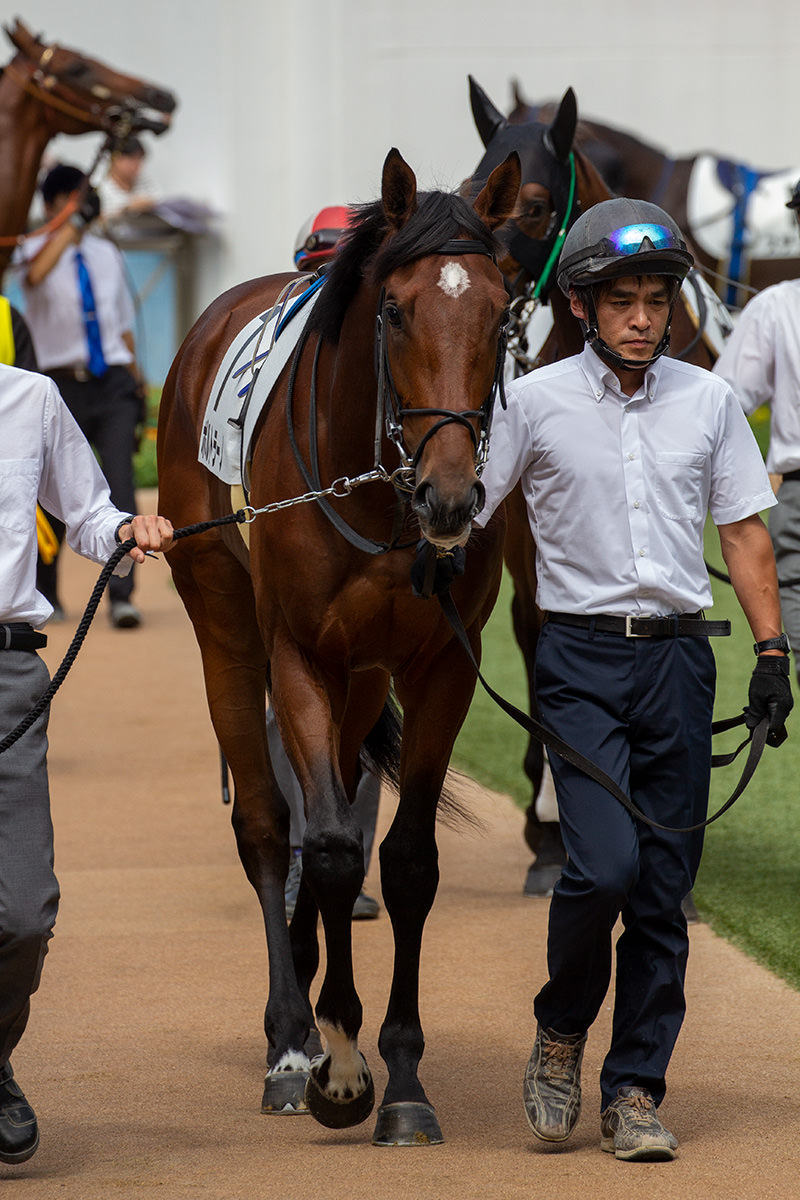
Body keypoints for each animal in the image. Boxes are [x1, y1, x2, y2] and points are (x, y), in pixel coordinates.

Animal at [158, 147, 520, 1142]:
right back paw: (292, 1040)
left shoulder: (443, 664)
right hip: (226, 626)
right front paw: (340, 1066)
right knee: (266, 824)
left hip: (361, 677)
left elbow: (402, 860)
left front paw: (401, 1077)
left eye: (502, 309)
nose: (450, 496)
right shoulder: (299, 653)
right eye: (394, 311)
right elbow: (319, 847)